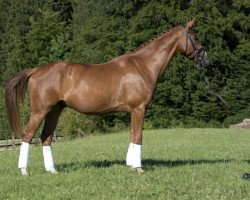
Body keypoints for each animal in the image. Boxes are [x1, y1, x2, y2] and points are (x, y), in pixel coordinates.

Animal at [5, 18, 209, 175]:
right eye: (195, 37)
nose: (206, 60)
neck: (143, 66)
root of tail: (36, 70)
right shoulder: (139, 109)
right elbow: (138, 136)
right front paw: (139, 168)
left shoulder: (133, 111)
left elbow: (132, 135)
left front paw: (130, 164)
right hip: (40, 111)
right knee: (27, 135)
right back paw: (24, 171)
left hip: (55, 110)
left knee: (46, 137)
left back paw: (52, 171)